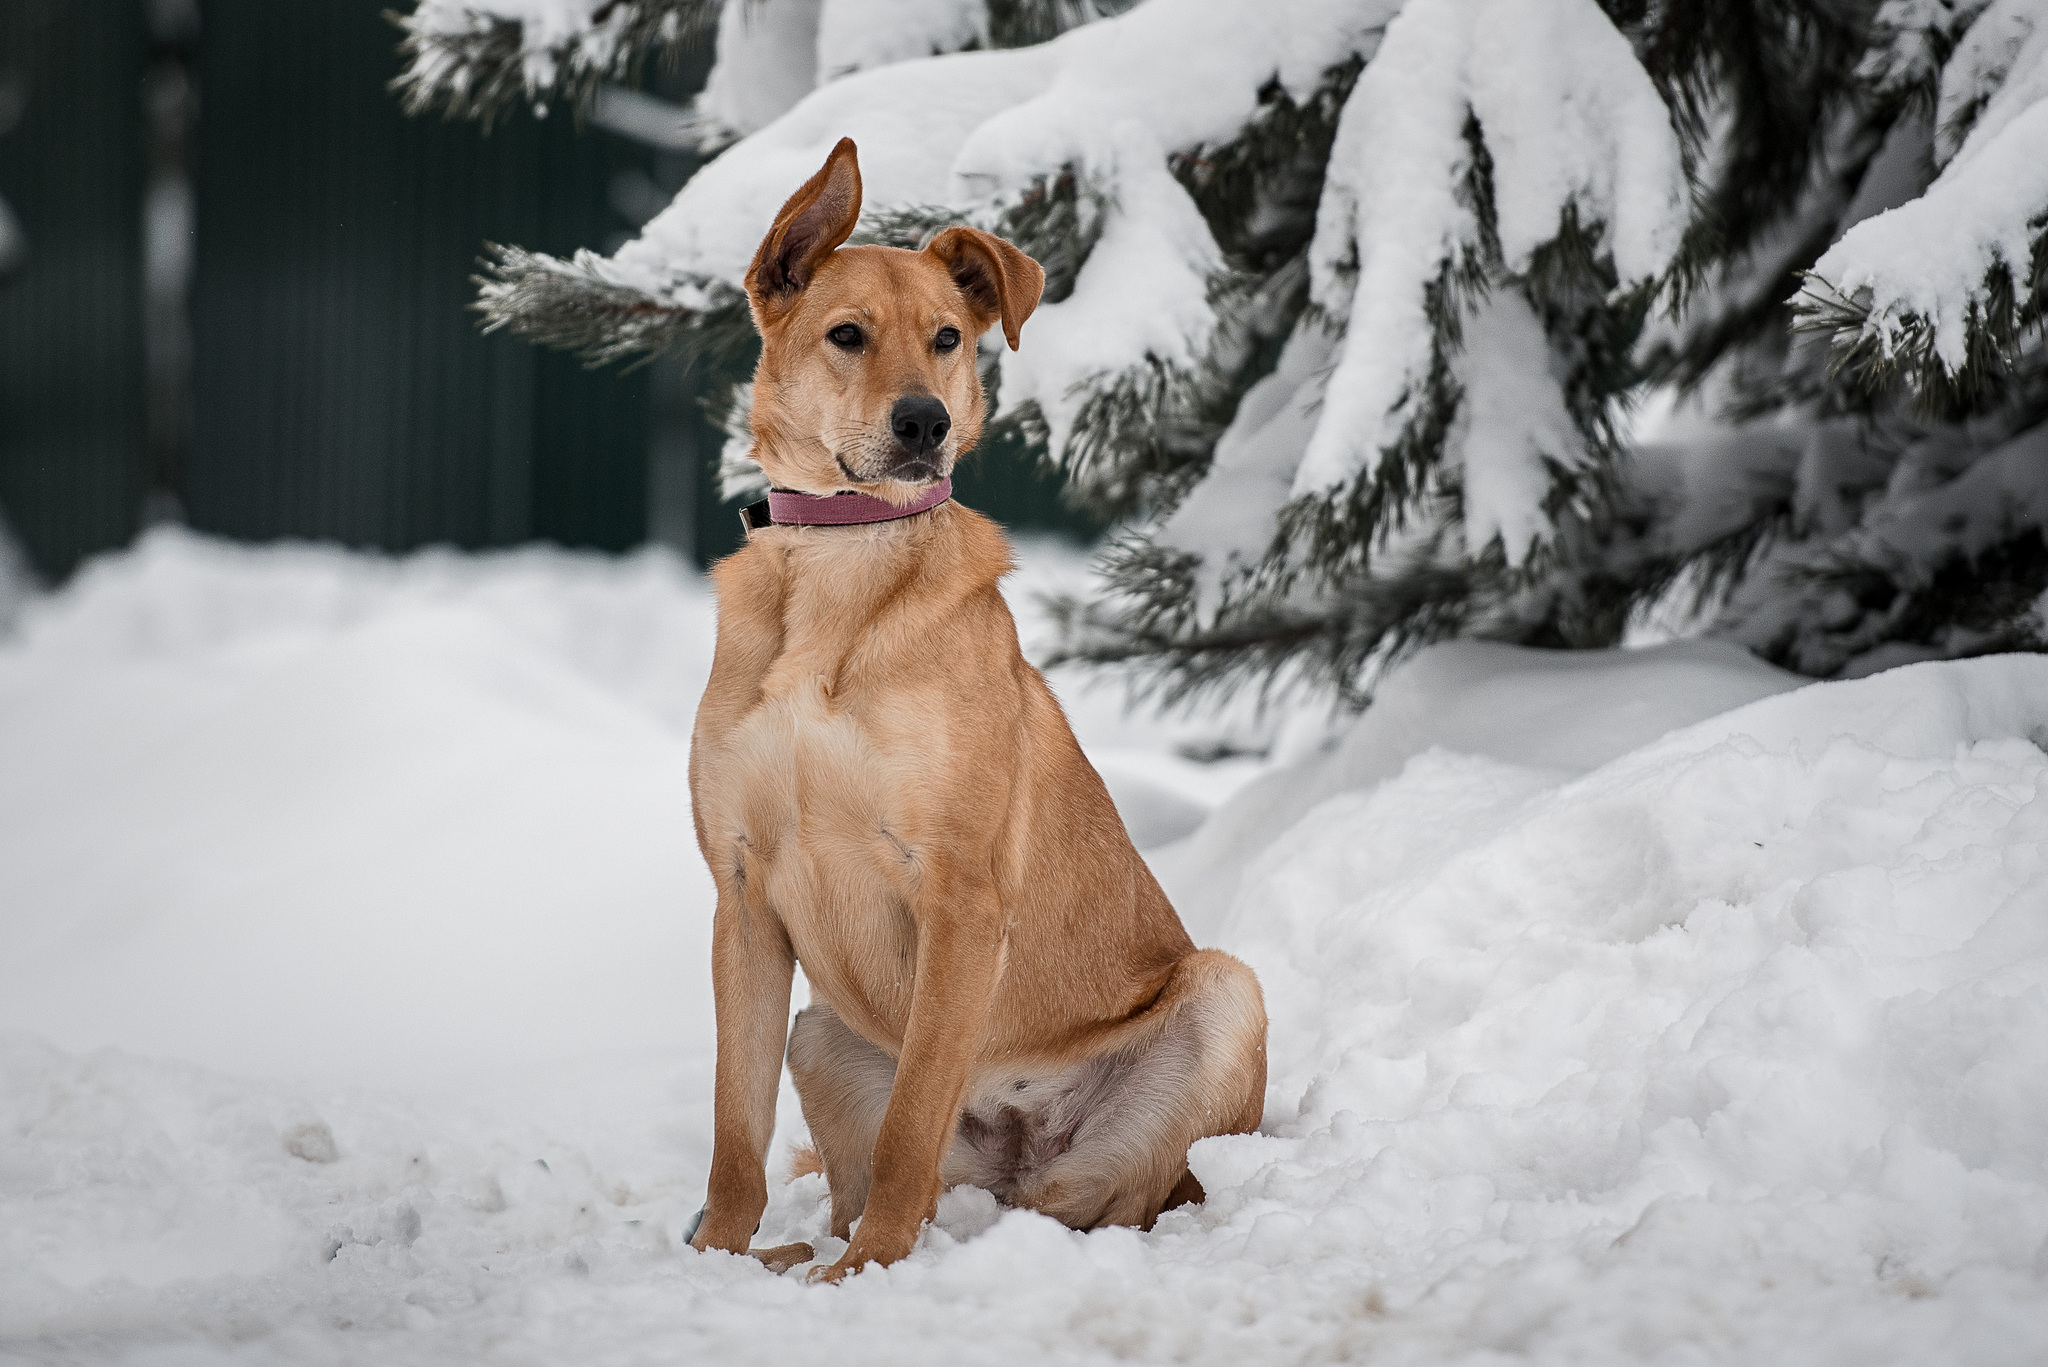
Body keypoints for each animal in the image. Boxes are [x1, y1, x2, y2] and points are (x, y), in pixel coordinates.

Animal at [688, 139, 1261, 1287]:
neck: (840, 563)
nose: (925, 422)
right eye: (847, 334)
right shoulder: (742, 894)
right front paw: (713, 1258)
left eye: (947, 337)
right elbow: (735, 1130)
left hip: (1225, 995)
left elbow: (911, 1121)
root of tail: (1017, 1147)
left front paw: (869, 1273)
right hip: (821, 1031)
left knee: (1090, 1202)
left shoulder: (958, 894)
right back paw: (788, 1253)